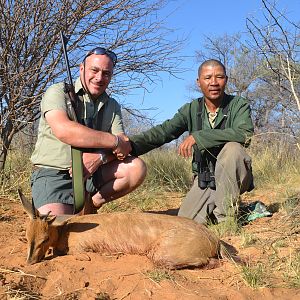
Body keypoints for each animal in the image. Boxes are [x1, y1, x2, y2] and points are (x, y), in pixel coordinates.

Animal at [19, 190, 238, 270]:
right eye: (27, 237)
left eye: (44, 239)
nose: (29, 262)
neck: (66, 230)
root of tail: (213, 238)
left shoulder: (80, 249)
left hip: (162, 256)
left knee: (210, 262)